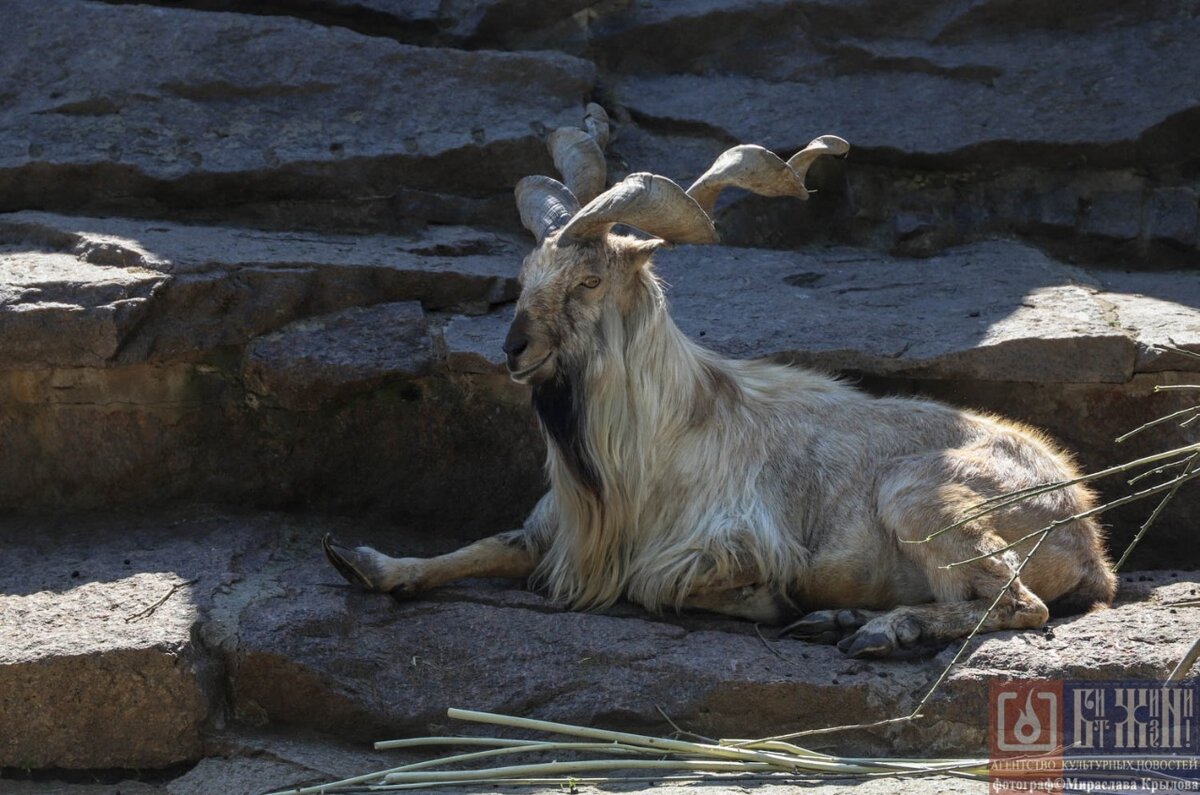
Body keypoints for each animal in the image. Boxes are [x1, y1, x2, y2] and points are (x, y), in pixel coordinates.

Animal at [326, 102, 1113, 658]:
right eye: (525, 275)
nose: (515, 349)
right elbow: (486, 545)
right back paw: (842, 618)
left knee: (1017, 604)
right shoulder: (559, 528)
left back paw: (877, 630)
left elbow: (656, 584)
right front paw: (366, 561)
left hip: (922, 495)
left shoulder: (731, 541)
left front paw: (776, 601)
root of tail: (1088, 535)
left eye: (588, 279)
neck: (652, 441)